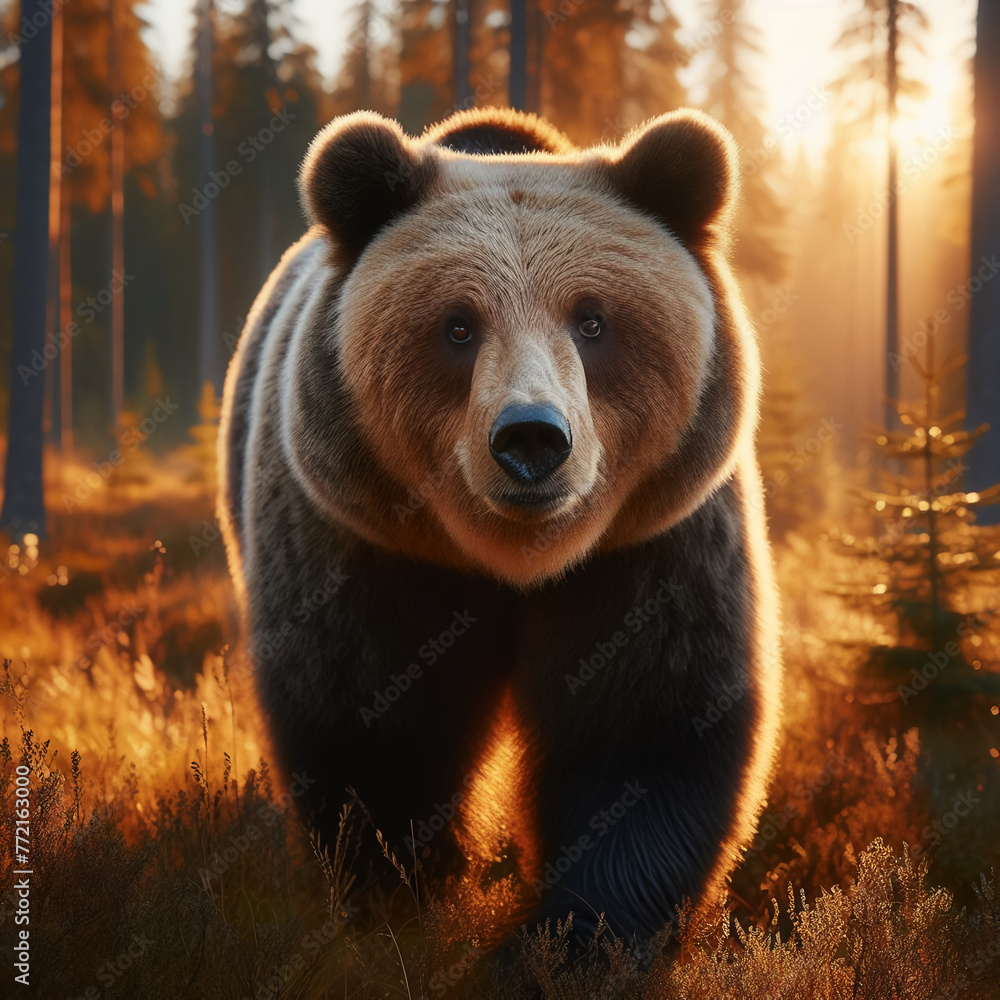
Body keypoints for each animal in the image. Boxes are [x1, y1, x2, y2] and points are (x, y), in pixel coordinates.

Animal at [218, 105, 782, 948]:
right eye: (458, 326)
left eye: (592, 319)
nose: (531, 439)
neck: (514, 561)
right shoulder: (364, 547)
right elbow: (374, 725)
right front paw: (399, 897)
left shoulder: (653, 546)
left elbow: (647, 730)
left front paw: (575, 937)